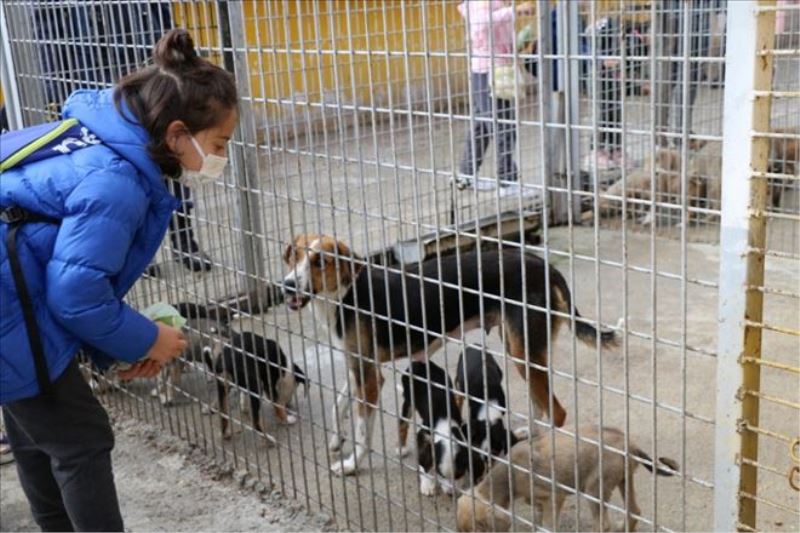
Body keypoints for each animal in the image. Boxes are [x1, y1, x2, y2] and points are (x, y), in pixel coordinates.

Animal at [282, 234, 617, 476]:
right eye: (294, 255)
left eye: (321, 261)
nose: (286, 286)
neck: (346, 295)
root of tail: (543, 265)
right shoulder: (357, 367)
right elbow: (337, 405)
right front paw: (336, 439)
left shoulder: (370, 378)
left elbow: (363, 432)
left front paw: (351, 465)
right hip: (519, 350)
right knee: (541, 403)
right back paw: (527, 434)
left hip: (525, 352)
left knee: (556, 412)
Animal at [397, 361, 484, 495]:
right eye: (441, 475)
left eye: (459, 475)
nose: (451, 493)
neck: (445, 424)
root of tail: (421, 363)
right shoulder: (423, 434)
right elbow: (425, 464)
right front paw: (427, 485)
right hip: (408, 400)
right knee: (403, 423)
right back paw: (401, 448)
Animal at [456, 426, 678, 532]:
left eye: (477, 530)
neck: (508, 474)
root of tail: (629, 445)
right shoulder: (537, 500)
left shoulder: (554, 497)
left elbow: (547, 526)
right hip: (624, 479)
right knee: (634, 511)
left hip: (595, 488)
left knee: (604, 525)